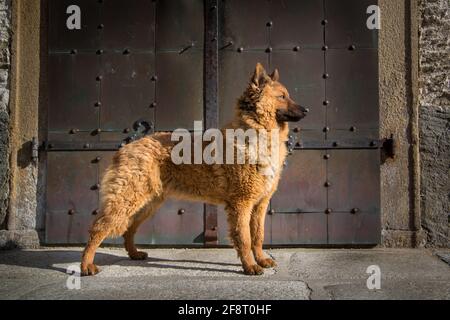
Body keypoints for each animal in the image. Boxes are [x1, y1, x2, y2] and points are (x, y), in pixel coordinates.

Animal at [81, 62, 308, 276]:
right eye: (282, 96)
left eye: (288, 95)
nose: (307, 110)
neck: (257, 133)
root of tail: (129, 144)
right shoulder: (241, 204)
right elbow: (244, 238)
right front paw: (250, 266)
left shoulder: (260, 204)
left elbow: (258, 236)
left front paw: (261, 260)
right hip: (127, 200)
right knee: (97, 229)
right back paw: (86, 265)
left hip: (146, 204)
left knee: (128, 230)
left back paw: (134, 254)